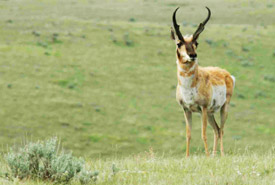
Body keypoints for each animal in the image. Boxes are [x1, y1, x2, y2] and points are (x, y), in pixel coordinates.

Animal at [171, 7, 236, 158]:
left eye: (196, 43)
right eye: (179, 43)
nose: (193, 55)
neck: (189, 87)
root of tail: (226, 74)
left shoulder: (203, 108)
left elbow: (203, 133)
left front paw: (205, 156)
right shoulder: (186, 109)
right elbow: (188, 134)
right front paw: (187, 156)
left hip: (223, 108)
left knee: (221, 129)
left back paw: (220, 154)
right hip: (211, 113)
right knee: (216, 130)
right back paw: (213, 155)